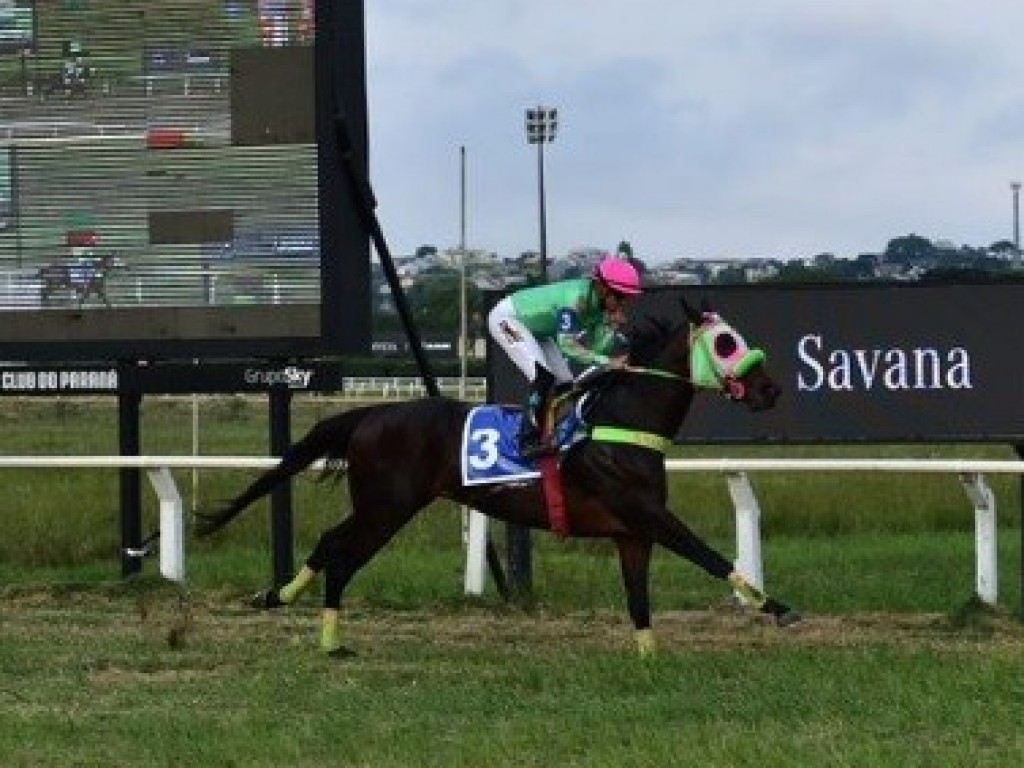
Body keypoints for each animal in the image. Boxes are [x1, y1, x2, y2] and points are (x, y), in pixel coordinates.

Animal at [193, 296, 798, 659]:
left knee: (327, 542)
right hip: (387, 506)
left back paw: (280, 597)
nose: (770, 389)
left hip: (378, 505)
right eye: (726, 342)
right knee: (342, 555)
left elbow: (638, 597)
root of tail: (370, 414)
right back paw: (329, 639)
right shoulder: (647, 514)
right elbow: (711, 556)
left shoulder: (632, 533)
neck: (622, 423)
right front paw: (777, 608)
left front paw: (649, 656)